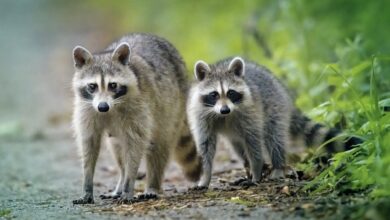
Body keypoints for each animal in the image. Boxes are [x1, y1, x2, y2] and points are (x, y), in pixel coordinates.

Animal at [71, 33, 203, 205]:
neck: (111, 108)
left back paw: (152, 185)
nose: (103, 107)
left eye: (113, 85)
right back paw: (120, 183)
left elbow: (135, 146)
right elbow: (89, 145)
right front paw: (87, 185)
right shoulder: (88, 109)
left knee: (159, 145)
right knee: (118, 150)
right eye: (92, 86)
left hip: (172, 106)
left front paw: (128, 187)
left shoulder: (138, 107)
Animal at [187, 57, 362, 189]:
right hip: (236, 133)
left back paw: (277, 167)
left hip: (275, 107)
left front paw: (256, 172)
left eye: (231, 93)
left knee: (274, 137)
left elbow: (254, 142)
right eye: (214, 94)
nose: (225, 110)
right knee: (238, 147)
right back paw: (249, 169)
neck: (222, 116)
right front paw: (205, 176)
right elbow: (205, 146)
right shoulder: (201, 115)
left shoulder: (251, 112)